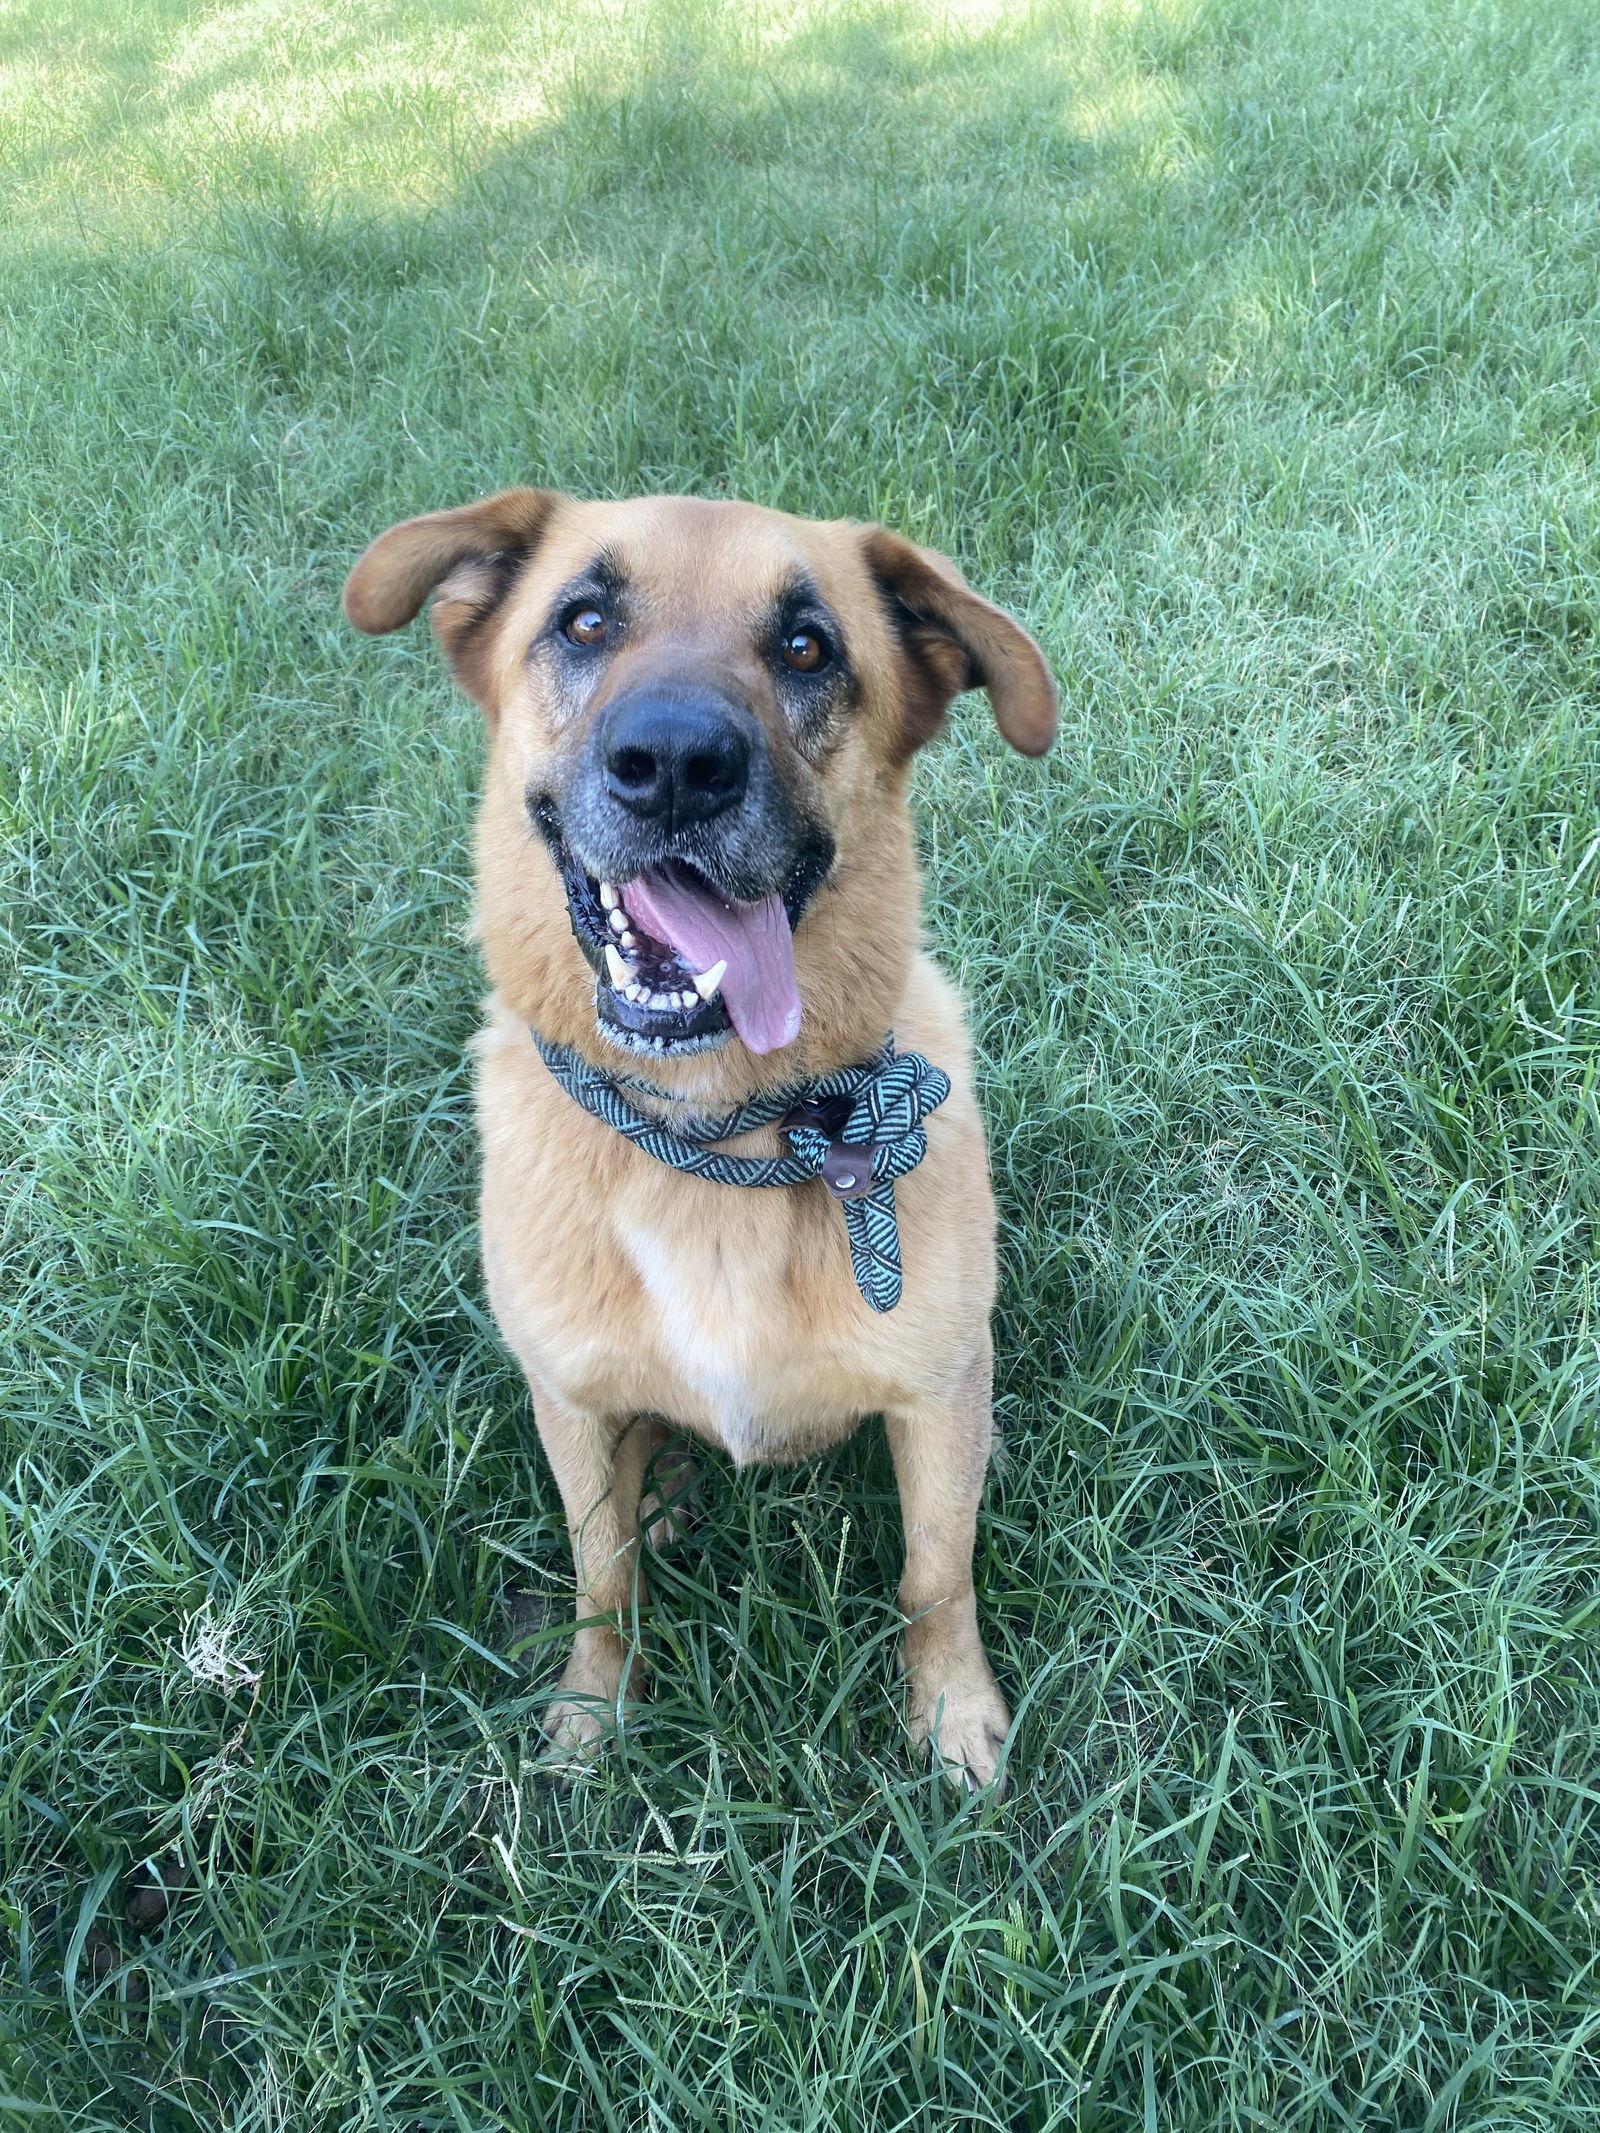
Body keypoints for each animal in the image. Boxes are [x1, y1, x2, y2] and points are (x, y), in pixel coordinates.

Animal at [345, 490, 1058, 1791]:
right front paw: (592, 1715)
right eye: (582, 620)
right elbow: (600, 1579)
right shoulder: (569, 1406)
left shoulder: (935, 1398)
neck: (713, 1139)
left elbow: (935, 1575)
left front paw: (952, 1717)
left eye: (807, 648)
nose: (675, 763)